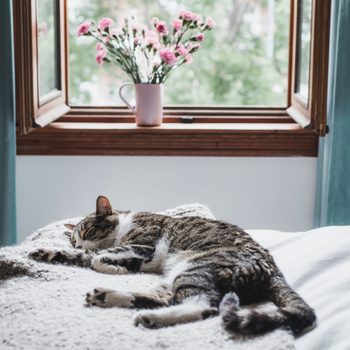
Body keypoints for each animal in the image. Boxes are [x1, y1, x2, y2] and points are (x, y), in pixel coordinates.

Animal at [28, 196, 316, 334]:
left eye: (88, 232)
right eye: (74, 241)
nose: (79, 245)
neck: (124, 225)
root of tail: (273, 269)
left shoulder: (144, 245)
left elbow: (99, 260)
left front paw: (116, 267)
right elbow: (84, 259)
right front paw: (44, 253)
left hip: (195, 269)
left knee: (202, 306)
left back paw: (147, 317)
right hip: (176, 276)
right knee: (167, 299)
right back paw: (107, 296)